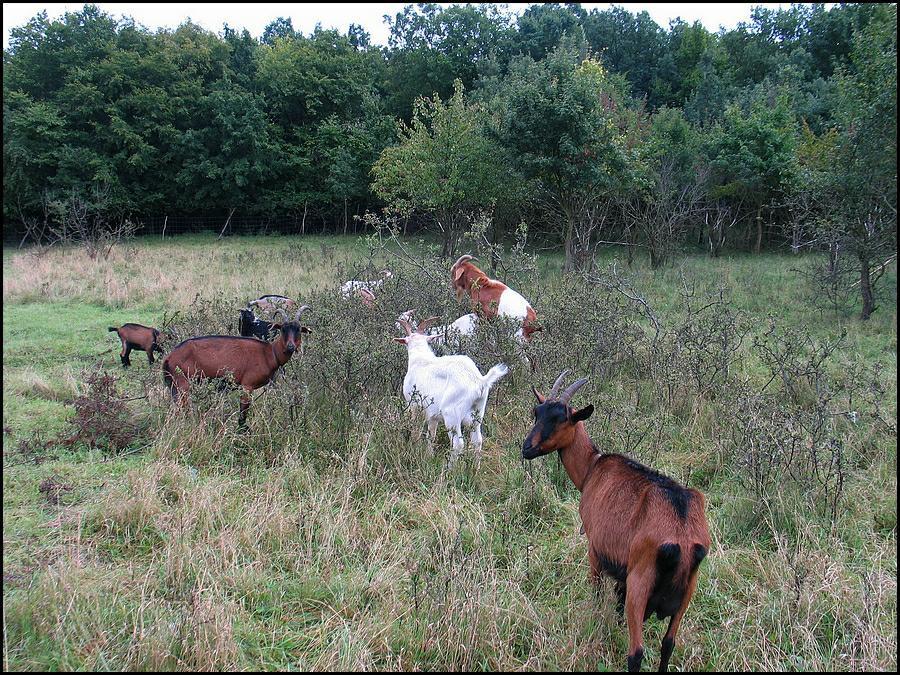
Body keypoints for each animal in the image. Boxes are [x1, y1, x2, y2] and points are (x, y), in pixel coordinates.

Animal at [163, 308, 312, 426]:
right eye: (283, 329)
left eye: (299, 330)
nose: (290, 347)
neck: (269, 352)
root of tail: (169, 357)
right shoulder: (247, 386)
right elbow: (242, 415)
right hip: (183, 385)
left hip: (174, 387)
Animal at [398, 316, 510, 464]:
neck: (420, 359)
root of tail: (480, 381)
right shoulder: (433, 415)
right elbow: (431, 435)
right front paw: (429, 456)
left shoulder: (414, 405)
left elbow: (415, 430)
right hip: (477, 413)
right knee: (478, 441)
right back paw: (475, 467)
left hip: (452, 414)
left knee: (458, 444)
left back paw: (449, 468)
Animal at [520, 372, 712, 672]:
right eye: (536, 412)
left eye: (561, 419)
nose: (526, 448)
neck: (592, 469)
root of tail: (682, 535)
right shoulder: (623, 573)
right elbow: (618, 607)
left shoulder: (596, 550)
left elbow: (598, 594)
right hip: (687, 592)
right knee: (668, 644)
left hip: (640, 583)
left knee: (637, 652)